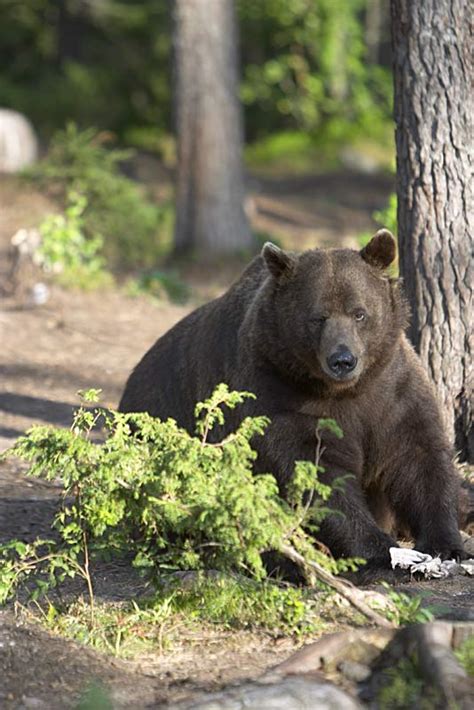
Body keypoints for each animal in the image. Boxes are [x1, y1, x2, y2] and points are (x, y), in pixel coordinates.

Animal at [119, 232, 466, 580]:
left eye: (359, 313)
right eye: (317, 317)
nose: (343, 360)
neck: (344, 391)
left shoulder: (392, 392)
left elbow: (418, 457)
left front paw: (447, 543)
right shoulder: (280, 396)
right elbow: (316, 475)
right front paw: (381, 551)